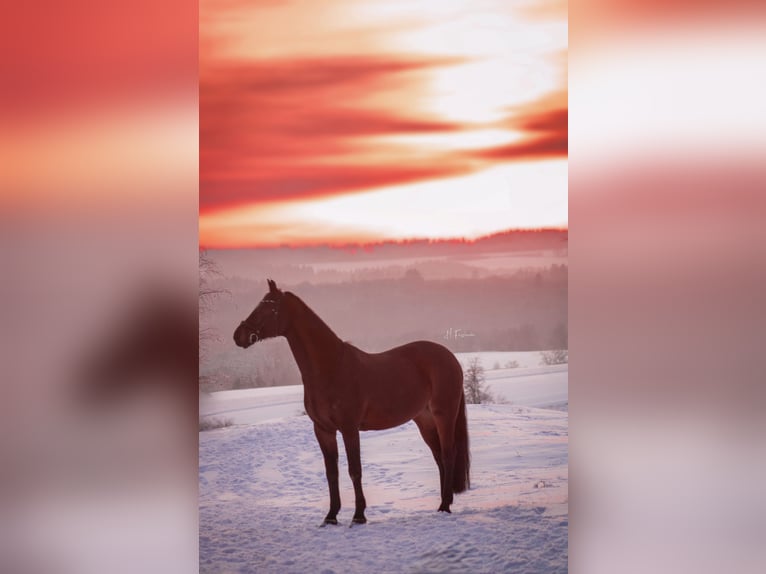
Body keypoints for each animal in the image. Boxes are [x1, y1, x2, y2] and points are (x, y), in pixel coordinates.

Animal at [231, 280, 472, 528]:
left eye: (268, 308)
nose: (238, 335)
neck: (331, 368)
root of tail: (450, 357)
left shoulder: (349, 428)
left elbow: (354, 470)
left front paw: (358, 515)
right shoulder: (323, 430)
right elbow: (332, 473)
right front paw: (331, 516)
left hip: (444, 415)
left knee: (448, 454)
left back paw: (445, 506)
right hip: (424, 420)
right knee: (438, 457)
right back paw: (444, 502)